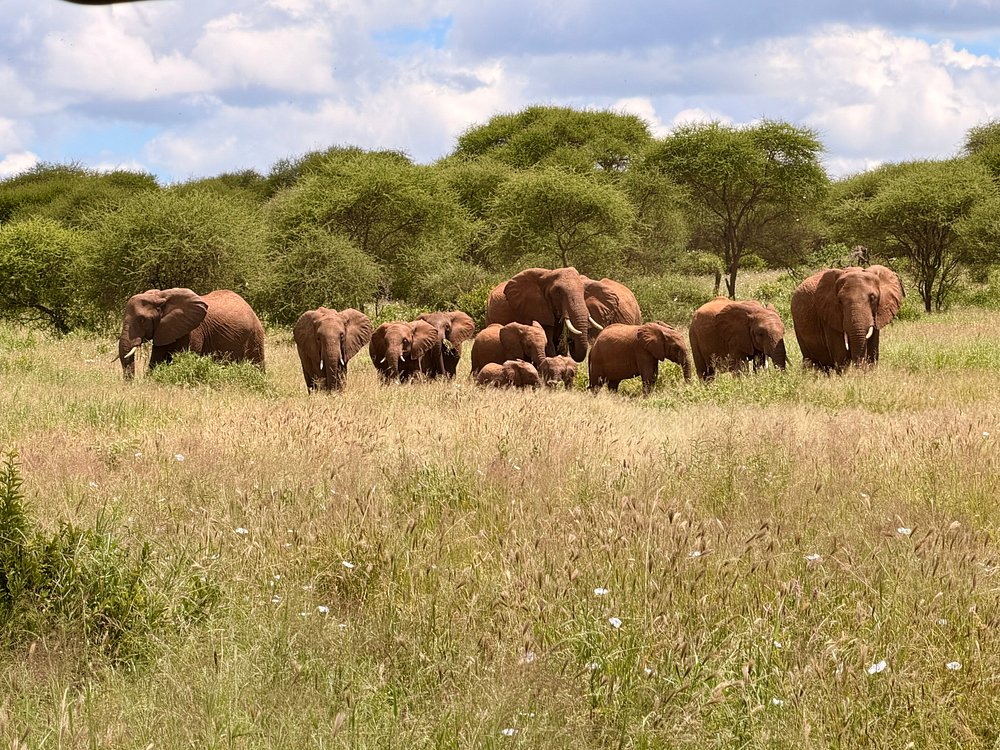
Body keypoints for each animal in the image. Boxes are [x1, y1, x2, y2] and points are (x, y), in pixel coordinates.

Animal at [117, 288, 264, 379]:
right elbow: (156, 360)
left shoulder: (193, 331)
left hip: (255, 336)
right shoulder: (164, 329)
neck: (160, 297)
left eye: (142, 320)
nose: (130, 383)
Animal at [485, 267, 622, 362]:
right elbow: (549, 341)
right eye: (558, 293)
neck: (548, 274)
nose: (570, 340)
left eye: (584, 292)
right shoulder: (535, 309)